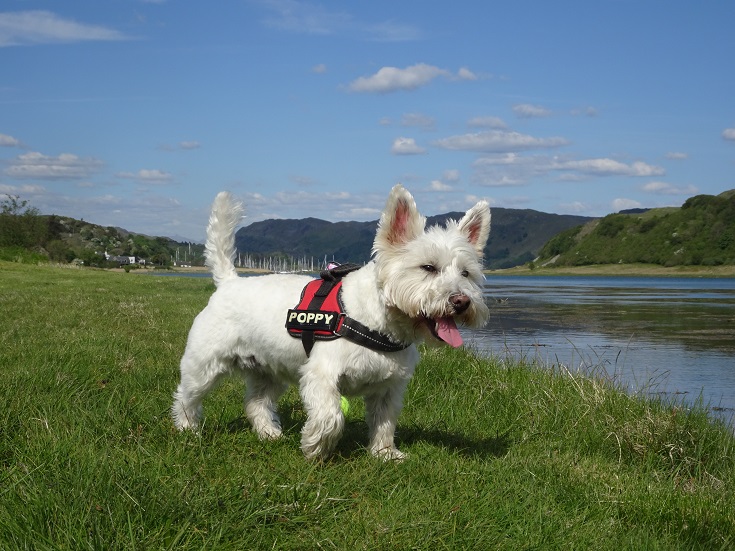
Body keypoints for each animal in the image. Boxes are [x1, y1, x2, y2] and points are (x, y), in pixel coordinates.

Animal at [173, 185, 492, 462]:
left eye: (466, 273)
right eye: (428, 267)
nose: (461, 301)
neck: (378, 323)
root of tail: (229, 282)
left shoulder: (390, 387)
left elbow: (385, 420)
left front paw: (384, 453)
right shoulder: (321, 373)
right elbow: (331, 415)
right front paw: (315, 447)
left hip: (268, 370)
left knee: (257, 402)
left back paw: (269, 433)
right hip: (204, 364)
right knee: (187, 396)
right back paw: (187, 429)